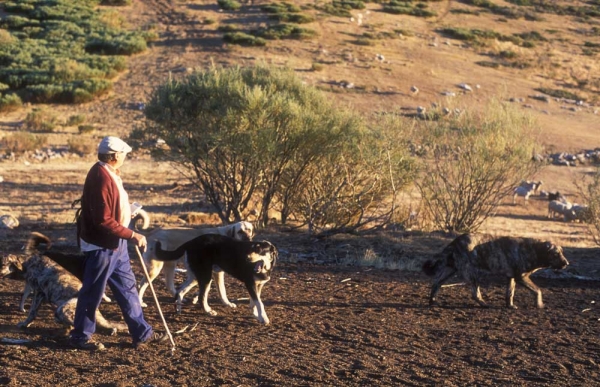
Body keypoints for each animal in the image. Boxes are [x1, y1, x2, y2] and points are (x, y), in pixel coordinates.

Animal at [422, 233, 568, 310]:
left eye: (562, 252)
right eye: (556, 254)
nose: (567, 263)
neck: (534, 250)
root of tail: (455, 242)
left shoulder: (511, 278)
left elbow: (510, 294)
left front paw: (510, 306)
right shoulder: (521, 277)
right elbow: (538, 290)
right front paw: (539, 304)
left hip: (450, 271)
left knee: (436, 284)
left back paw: (432, 302)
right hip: (472, 273)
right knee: (475, 294)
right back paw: (483, 303)